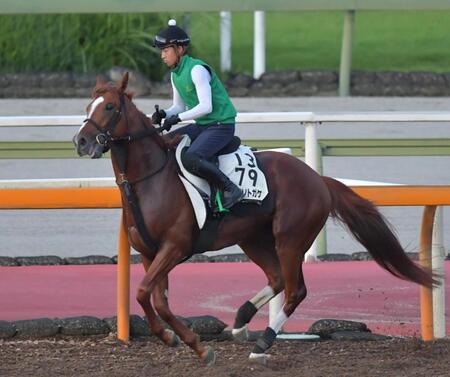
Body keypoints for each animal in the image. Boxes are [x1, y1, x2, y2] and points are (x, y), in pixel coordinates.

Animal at [74, 73, 436, 364]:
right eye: (89, 105)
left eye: (109, 107)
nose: (81, 141)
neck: (151, 179)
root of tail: (317, 179)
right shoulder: (151, 253)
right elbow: (152, 298)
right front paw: (174, 338)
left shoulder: (175, 247)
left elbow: (148, 295)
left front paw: (196, 345)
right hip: (253, 238)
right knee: (276, 279)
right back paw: (240, 321)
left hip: (291, 239)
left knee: (294, 289)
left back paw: (263, 343)